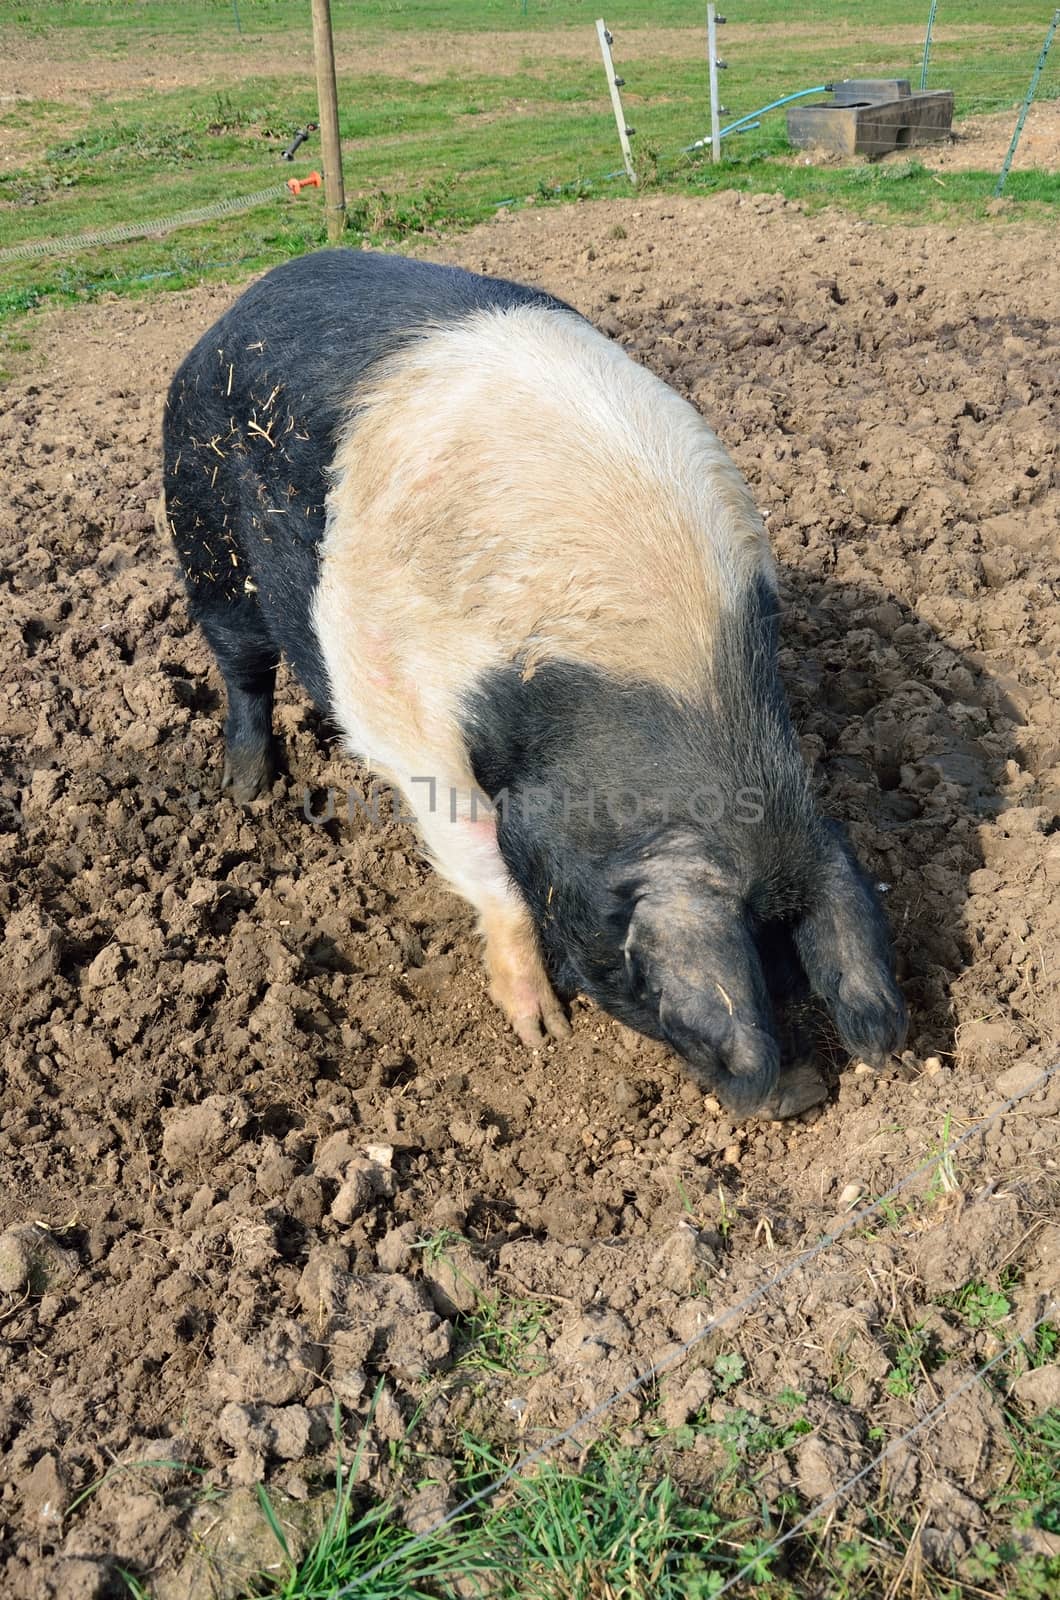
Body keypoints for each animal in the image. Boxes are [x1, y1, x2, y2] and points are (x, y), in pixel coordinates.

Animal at [161, 252, 909, 1126]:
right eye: (644, 986)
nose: (800, 1096)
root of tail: (242, 302)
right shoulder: (414, 726)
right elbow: (491, 874)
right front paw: (542, 1033)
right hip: (203, 531)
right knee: (241, 667)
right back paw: (246, 791)